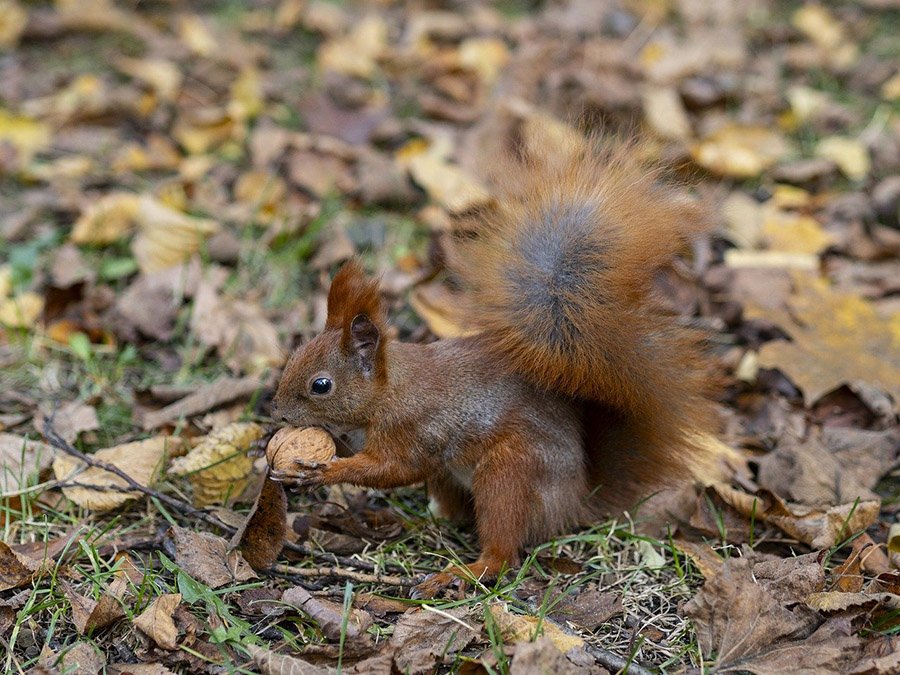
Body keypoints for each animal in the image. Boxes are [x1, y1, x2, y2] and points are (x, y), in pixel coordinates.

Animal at [270, 134, 722, 598]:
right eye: (294, 355)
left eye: (321, 385)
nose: (279, 413)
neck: (388, 392)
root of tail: (575, 500)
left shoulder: (415, 430)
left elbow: (393, 468)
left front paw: (324, 471)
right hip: (452, 476)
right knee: (450, 518)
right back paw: (391, 520)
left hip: (508, 473)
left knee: (503, 552)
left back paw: (460, 572)